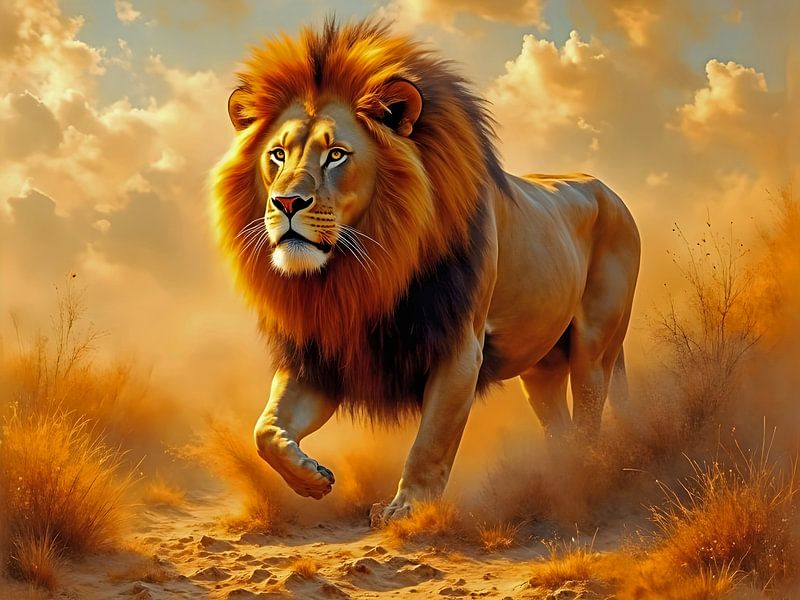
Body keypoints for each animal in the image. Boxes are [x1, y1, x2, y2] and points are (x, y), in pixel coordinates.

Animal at [211, 18, 640, 521]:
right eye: (277, 155)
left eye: (336, 154)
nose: (287, 203)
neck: (362, 270)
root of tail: (605, 188)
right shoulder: (323, 354)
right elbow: (265, 429)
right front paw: (310, 479)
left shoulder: (460, 349)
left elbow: (431, 441)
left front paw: (406, 509)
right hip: (542, 365)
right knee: (560, 427)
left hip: (595, 347)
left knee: (589, 419)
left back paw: (579, 482)